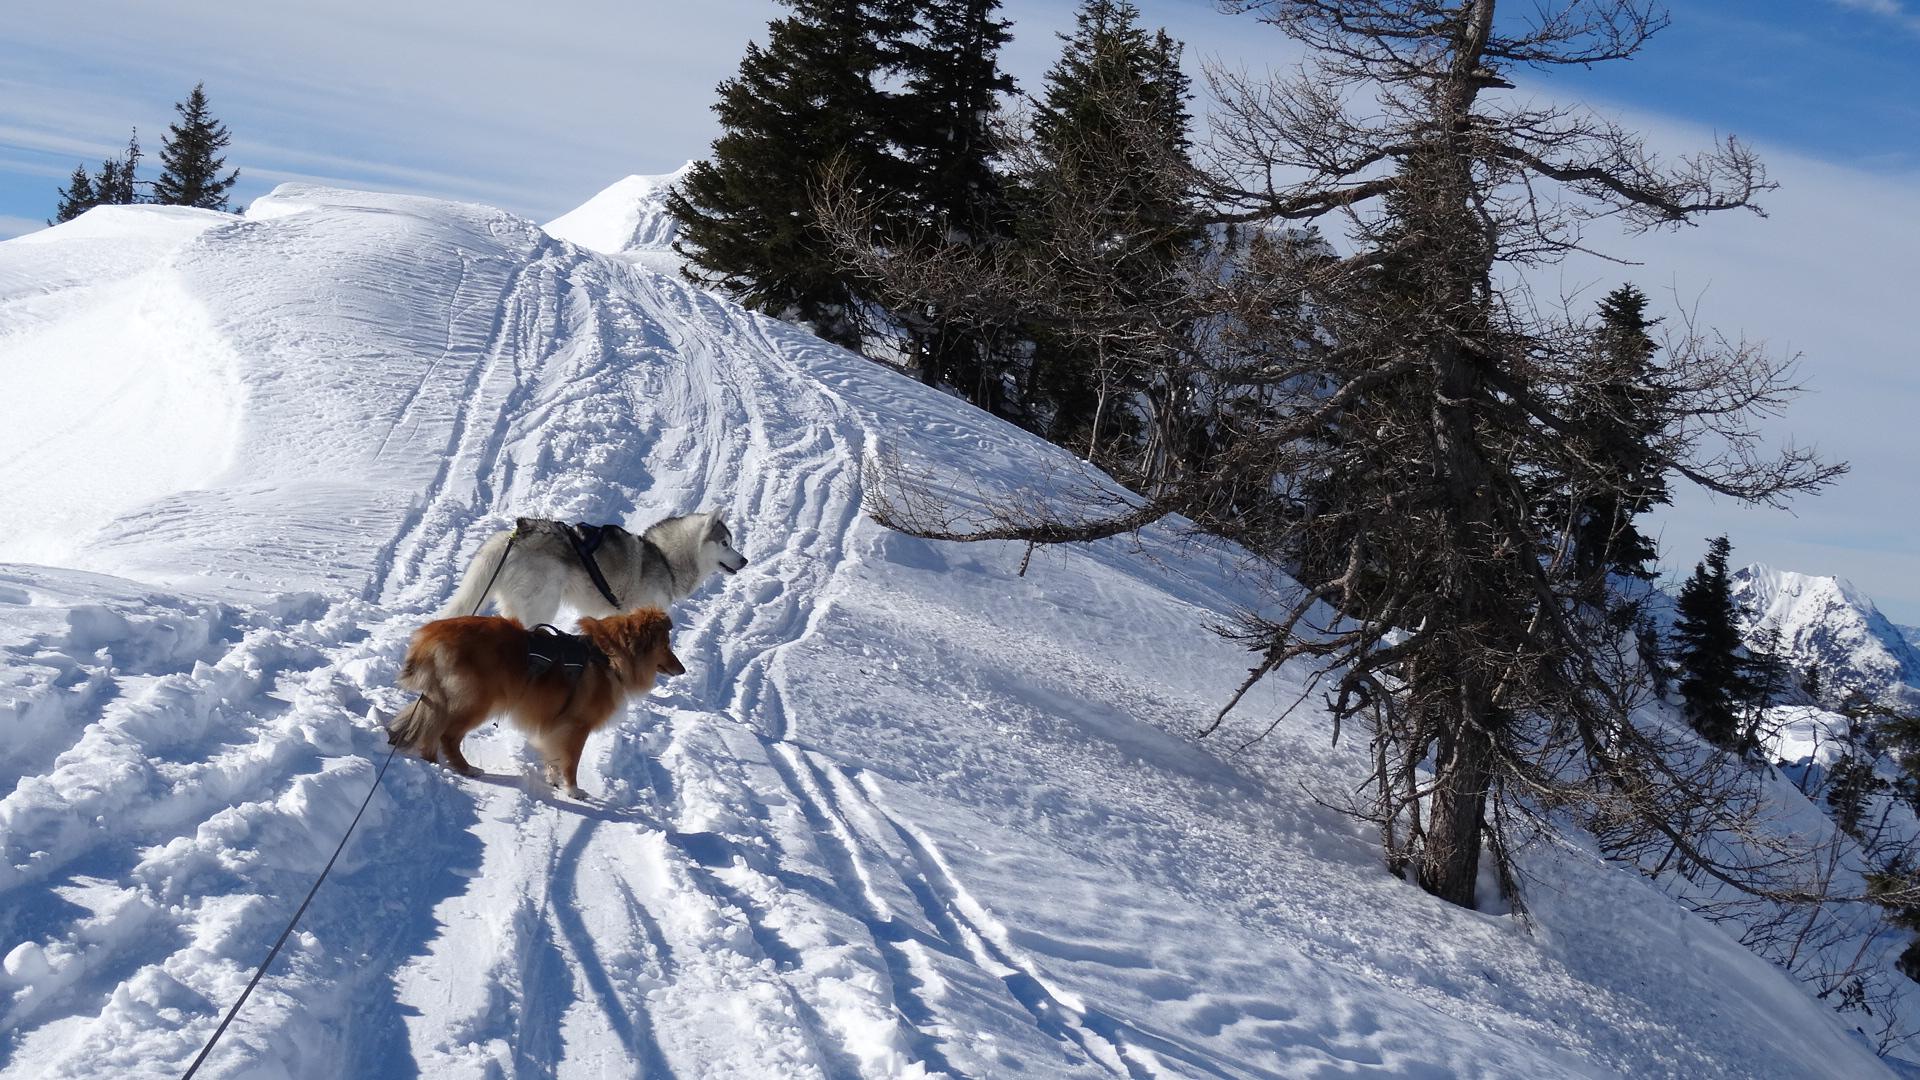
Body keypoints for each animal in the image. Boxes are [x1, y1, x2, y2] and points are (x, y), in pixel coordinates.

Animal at [388, 608, 685, 797]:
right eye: (666, 645)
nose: (682, 670)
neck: (609, 656)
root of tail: (431, 634)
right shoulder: (577, 726)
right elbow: (571, 761)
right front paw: (573, 790)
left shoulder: (558, 725)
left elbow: (554, 756)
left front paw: (553, 780)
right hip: (478, 701)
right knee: (447, 735)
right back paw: (466, 769)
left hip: (445, 699)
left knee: (430, 732)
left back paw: (433, 764)